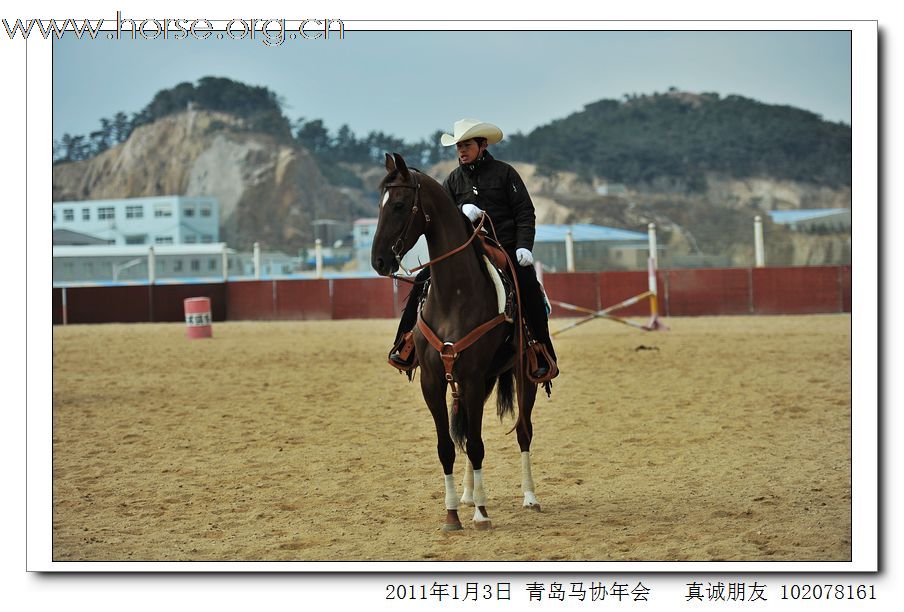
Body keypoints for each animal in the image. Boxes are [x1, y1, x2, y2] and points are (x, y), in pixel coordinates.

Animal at [370, 153, 540, 532]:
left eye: (399, 204)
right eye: (380, 204)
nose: (378, 261)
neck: (454, 295)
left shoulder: (474, 378)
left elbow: (477, 445)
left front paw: (481, 514)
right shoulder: (435, 380)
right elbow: (448, 445)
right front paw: (452, 514)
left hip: (523, 375)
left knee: (523, 431)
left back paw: (529, 497)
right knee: (464, 430)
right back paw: (466, 494)